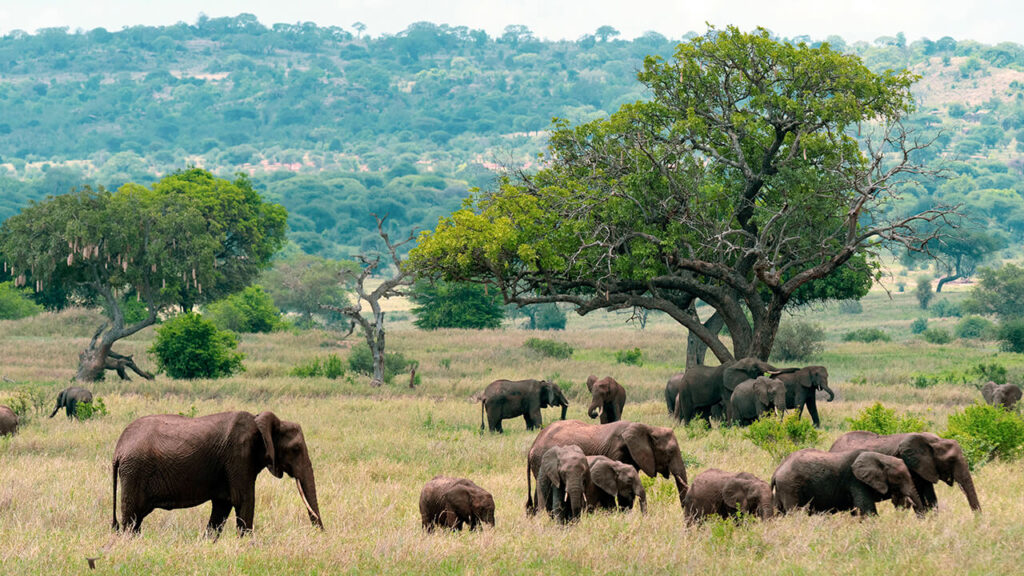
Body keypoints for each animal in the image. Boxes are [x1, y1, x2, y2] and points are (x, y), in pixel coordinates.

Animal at [112, 410, 323, 535]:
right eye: (296, 449)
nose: (319, 534)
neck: (259, 421)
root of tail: (119, 448)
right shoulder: (239, 456)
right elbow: (244, 500)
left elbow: (223, 505)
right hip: (135, 471)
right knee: (131, 518)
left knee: (136, 519)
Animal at [771, 448, 926, 516]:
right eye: (899, 478)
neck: (880, 457)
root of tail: (777, 470)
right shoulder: (856, 481)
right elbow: (867, 511)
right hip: (790, 486)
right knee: (794, 513)